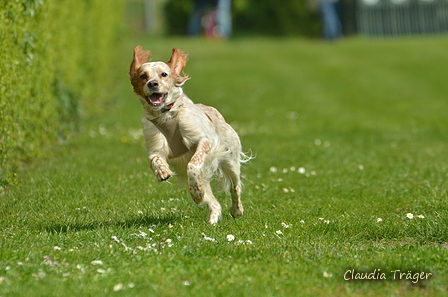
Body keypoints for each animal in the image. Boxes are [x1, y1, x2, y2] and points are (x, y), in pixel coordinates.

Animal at [129, 45, 248, 222]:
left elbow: (193, 165)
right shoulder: (155, 146)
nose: (153, 84)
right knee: (214, 202)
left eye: (164, 74)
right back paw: (212, 218)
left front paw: (196, 193)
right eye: (143, 76)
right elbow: (154, 158)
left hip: (231, 161)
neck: (166, 115)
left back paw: (236, 210)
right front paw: (163, 171)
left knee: (235, 187)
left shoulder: (204, 141)